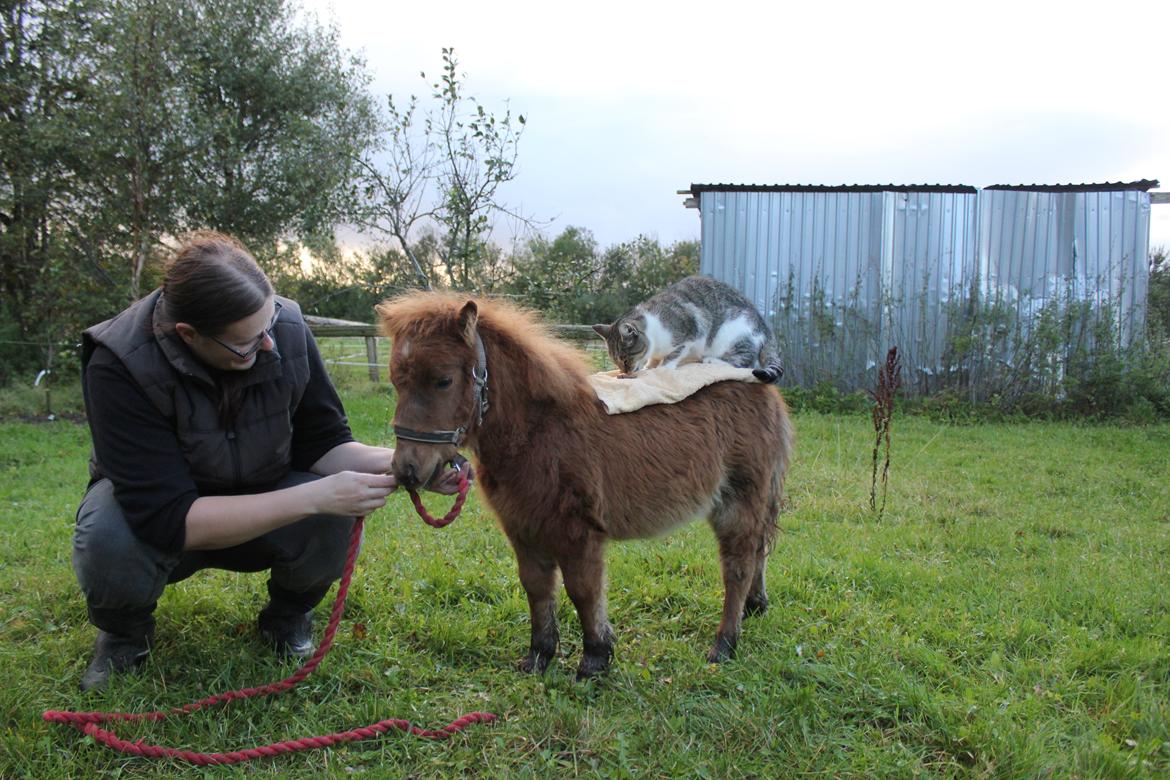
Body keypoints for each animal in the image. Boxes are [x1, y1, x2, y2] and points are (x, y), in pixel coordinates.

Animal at [377, 292, 794, 678]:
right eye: (396, 381)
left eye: (443, 380)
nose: (407, 470)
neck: (539, 430)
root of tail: (765, 387)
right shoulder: (522, 528)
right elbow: (537, 588)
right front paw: (539, 657)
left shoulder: (577, 531)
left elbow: (583, 591)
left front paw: (595, 658)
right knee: (758, 550)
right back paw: (754, 607)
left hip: (739, 500)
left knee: (738, 565)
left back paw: (724, 644)